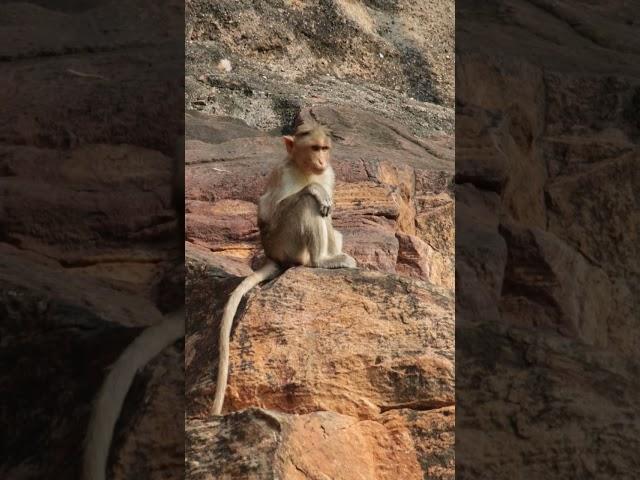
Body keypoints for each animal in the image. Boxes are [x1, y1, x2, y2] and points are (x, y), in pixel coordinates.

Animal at [212, 122, 358, 414]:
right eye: (314, 148)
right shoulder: (283, 173)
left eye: (325, 148)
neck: (304, 169)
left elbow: (329, 210)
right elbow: (270, 212)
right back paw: (321, 260)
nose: (322, 161)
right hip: (284, 242)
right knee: (306, 204)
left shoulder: (330, 175)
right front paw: (315, 189)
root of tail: (272, 254)